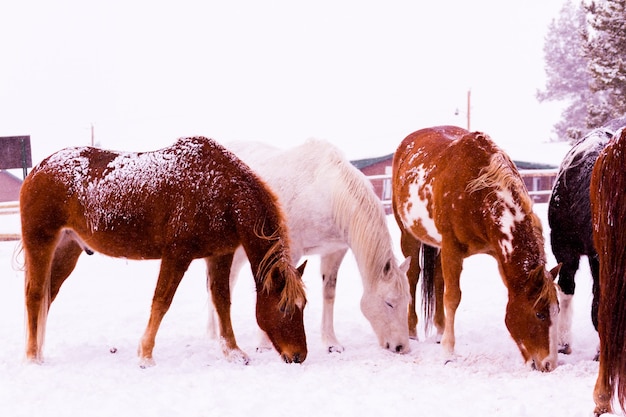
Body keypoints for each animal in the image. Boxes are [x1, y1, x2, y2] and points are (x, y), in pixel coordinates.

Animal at [20, 136, 308, 364]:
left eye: (303, 305)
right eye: (283, 308)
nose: (298, 356)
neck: (220, 191)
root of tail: (37, 170)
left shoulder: (219, 255)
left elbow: (222, 301)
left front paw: (233, 352)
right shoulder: (177, 255)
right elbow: (161, 301)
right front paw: (145, 355)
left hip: (68, 249)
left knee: (49, 294)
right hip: (41, 242)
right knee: (35, 295)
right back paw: (32, 357)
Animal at [205, 138, 410, 352]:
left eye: (408, 301)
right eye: (389, 303)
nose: (401, 347)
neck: (325, 193)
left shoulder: (334, 251)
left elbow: (329, 293)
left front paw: (331, 343)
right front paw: (264, 345)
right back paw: (213, 335)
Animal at [392, 124, 560, 370]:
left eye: (557, 310)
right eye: (539, 314)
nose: (549, 364)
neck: (478, 193)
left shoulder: (497, 254)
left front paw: (444, 339)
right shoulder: (452, 248)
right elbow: (453, 297)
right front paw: (448, 352)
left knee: (439, 279)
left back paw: (440, 330)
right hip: (409, 235)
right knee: (413, 276)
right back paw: (412, 330)